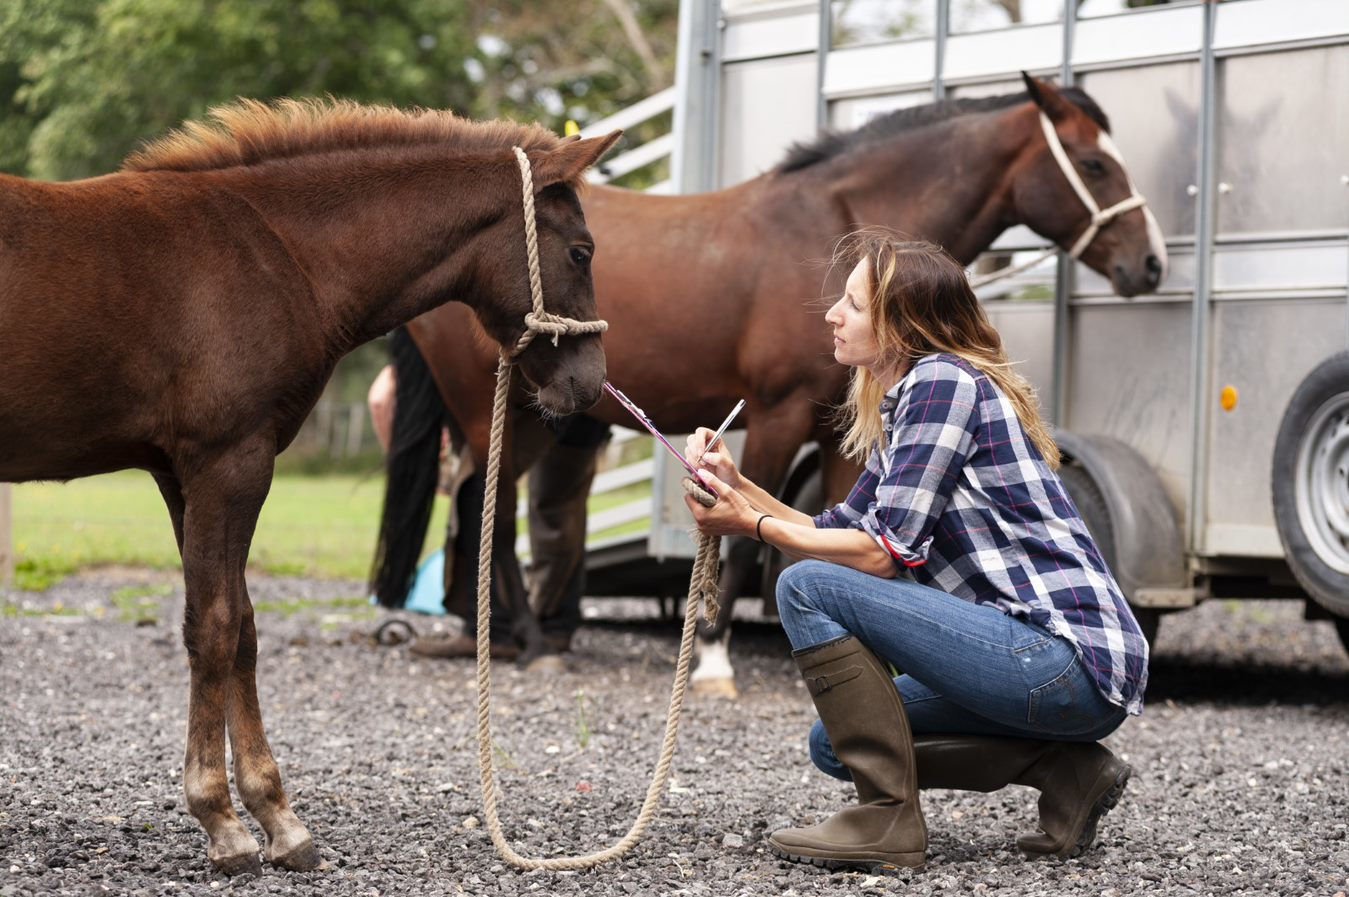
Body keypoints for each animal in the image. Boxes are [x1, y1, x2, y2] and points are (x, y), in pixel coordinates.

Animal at [0, 97, 620, 875]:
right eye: (581, 251)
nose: (588, 385)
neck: (276, 251)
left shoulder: (185, 475)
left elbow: (240, 624)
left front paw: (276, 816)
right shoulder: (230, 462)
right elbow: (215, 627)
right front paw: (223, 821)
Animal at [370, 74, 1167, 694]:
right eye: (1094, 165)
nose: (1150, 263)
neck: (830, 229)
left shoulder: (837, 435)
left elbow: (834, 534)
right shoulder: (777, 415)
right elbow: (752, 545)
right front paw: (715, 658)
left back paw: (507, 634)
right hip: (501, 412)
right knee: (493, 512)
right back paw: (532, 645)